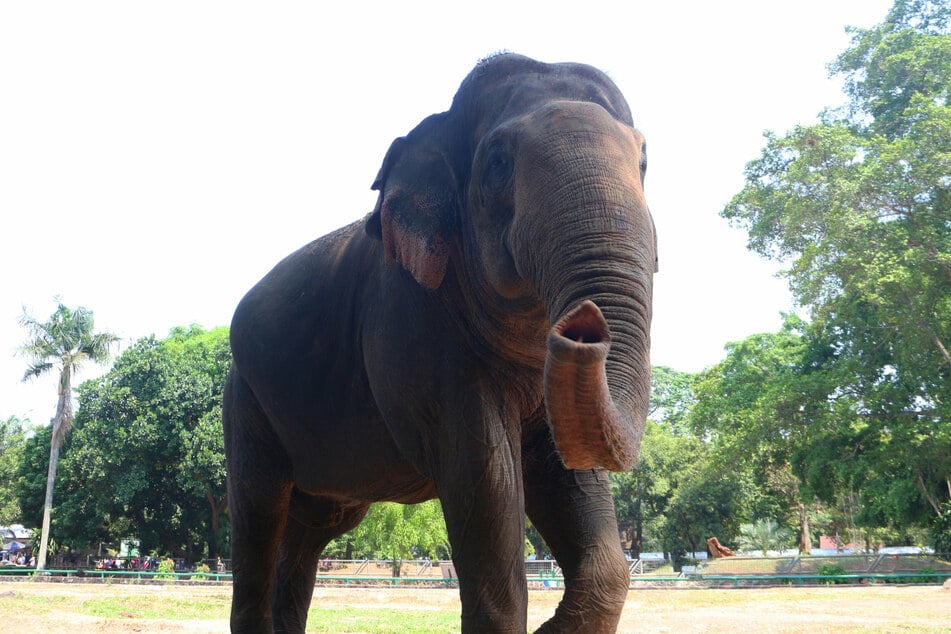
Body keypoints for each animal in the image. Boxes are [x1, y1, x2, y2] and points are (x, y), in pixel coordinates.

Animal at [225, 51, 656, 628]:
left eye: (644, 162)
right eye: (497, 163)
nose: (584, 327)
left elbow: (569, 479)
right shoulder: (414, 332)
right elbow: (487, 485)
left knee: (309, 533)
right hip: (244, 402)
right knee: (258, 516)